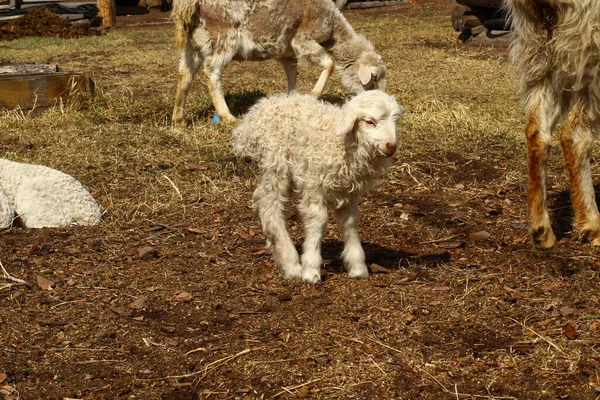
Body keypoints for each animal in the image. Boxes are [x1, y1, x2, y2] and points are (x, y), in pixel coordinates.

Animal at [232, 92, 406, 282]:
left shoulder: (349, 190)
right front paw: (311, 269)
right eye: (369, 121)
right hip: (276, 163)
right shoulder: (313, 183)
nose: (391, 146)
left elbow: (350, 223)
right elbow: (318, 220)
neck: (341, 143)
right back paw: (291, 264)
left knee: (261, 197)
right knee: (270, 208)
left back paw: (276, 249)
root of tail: (255, 114)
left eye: (396, 121)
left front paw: (357, 267)